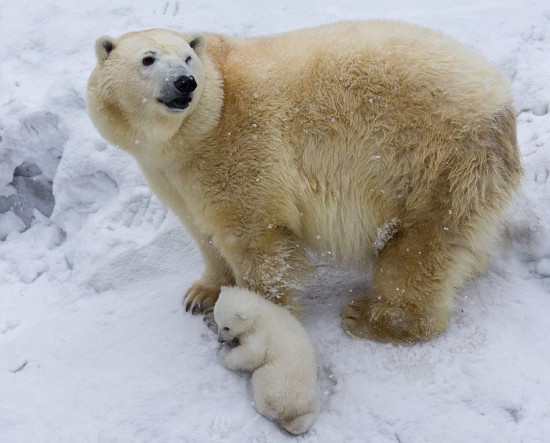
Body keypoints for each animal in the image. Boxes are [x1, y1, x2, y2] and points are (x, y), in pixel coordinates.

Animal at [88, 22, 524, 346]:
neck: (200, 127)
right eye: (147, 58)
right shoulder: (170, 172)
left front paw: (253, 323)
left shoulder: (239, 146)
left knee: (421, 247)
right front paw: (201, 294)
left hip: (432, 163)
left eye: (187, 56)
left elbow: (255, 239)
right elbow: (201, 229)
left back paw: (370, 318)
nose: (185, 82)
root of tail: (501, 106)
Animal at [216, 286, 320, 436]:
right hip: (309, 401)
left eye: (227, 327)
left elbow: (253, 354)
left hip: (277, 380)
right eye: (218, 323)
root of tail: (290, 409)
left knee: (262, 384)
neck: (258, 313)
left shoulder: (261, 333)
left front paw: (223, 354)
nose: (220, 340)